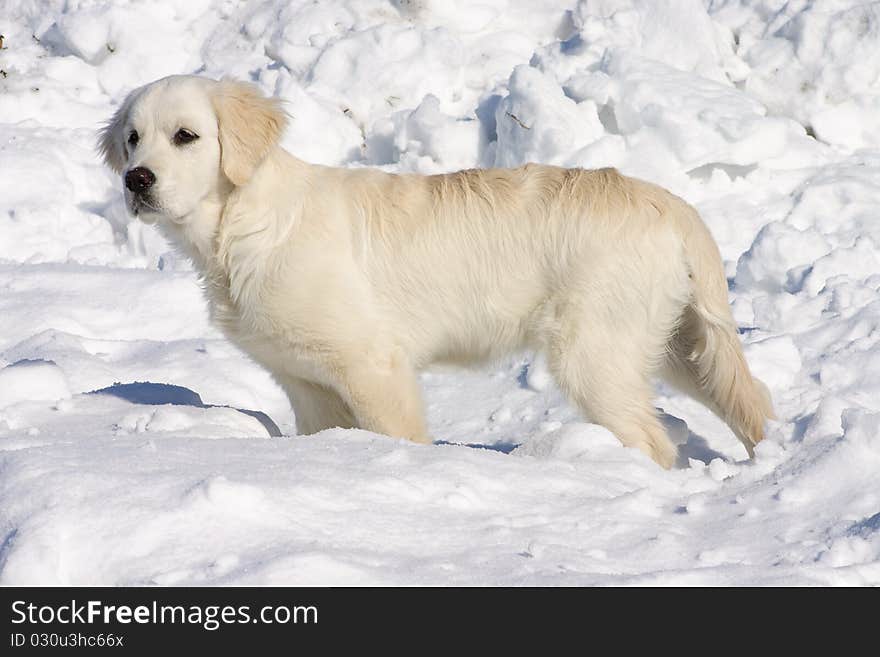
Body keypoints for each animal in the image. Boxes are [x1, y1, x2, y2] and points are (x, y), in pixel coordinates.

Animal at [98, 75, 768, 466]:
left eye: (187, 136)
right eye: (132, 138)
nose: (137, 180)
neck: (242, 224)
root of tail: (673, 206)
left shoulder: (374, 366)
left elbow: (398, 435)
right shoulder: (306, 385)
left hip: (595, 352)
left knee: (654, 442)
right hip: (680, 346)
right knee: (752, 402)